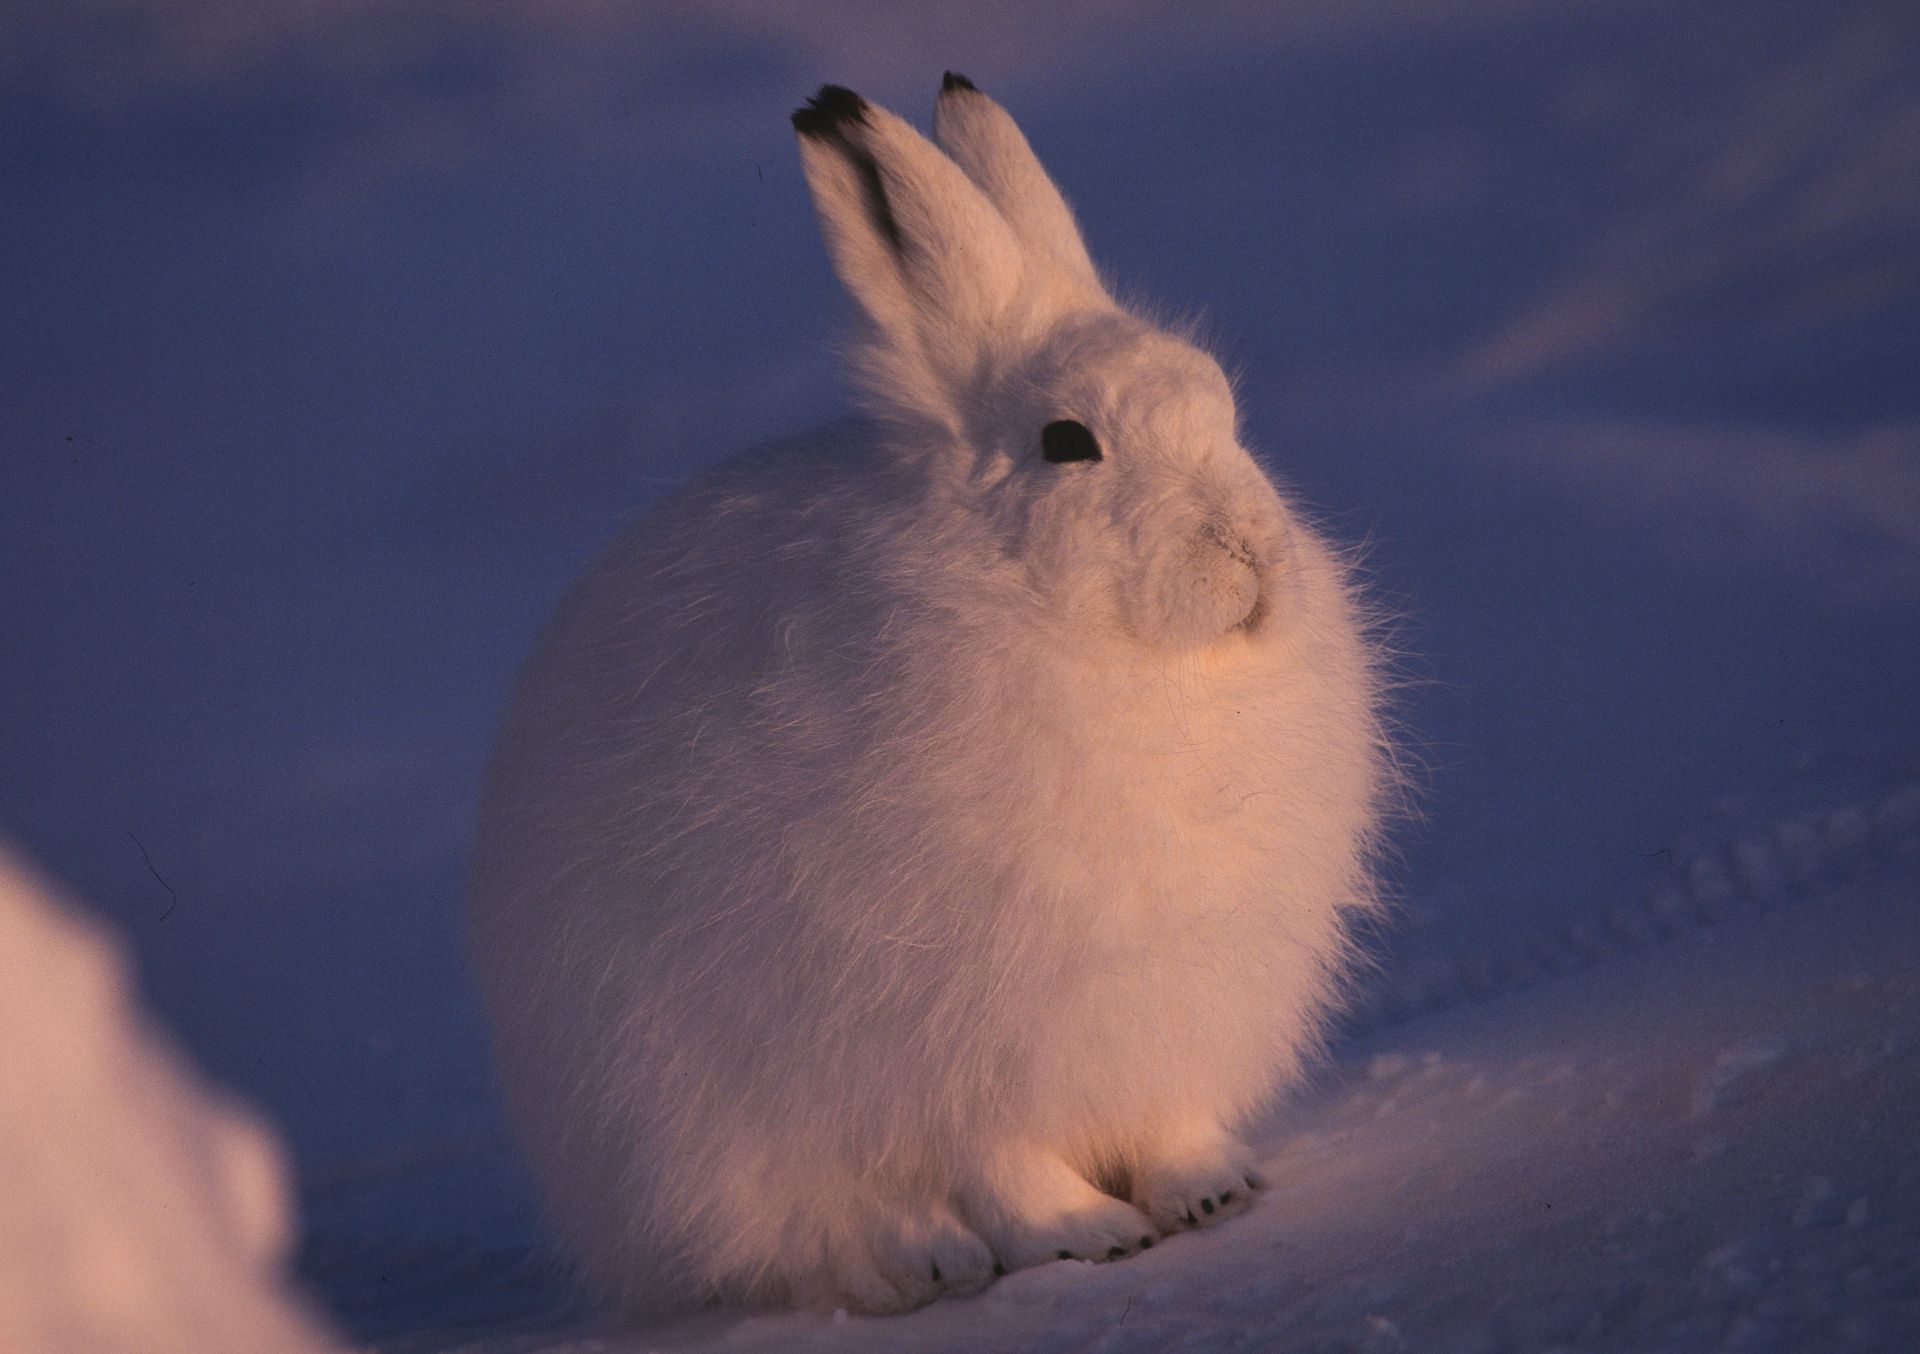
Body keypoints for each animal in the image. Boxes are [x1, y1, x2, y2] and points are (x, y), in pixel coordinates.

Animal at [468, 74, 1392, 1318]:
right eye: (1067, 442)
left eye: (1220, 406)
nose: (1249, 552)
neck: (1121, 655)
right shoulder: (951, 1034)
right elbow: (1001, 1157)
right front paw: (1085, 1232)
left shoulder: (1155, 1015)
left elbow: (1167, 1123)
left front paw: (1211, 1192)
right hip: (697, 1107)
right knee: (833, 1221)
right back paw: (932, 1261)